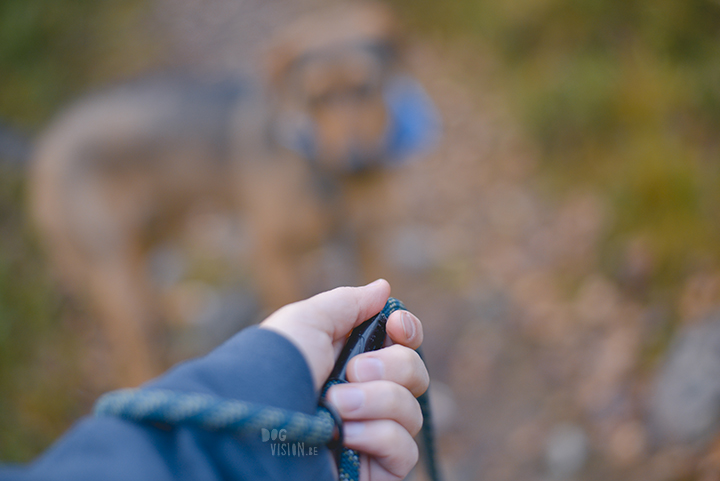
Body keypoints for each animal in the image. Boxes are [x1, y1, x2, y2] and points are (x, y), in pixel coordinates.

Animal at [29, 2, 438, 386]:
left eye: (365, 86)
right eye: (315, 97)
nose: (356, 162)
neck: (326, 175)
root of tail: (47, 141)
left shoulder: (371, 238)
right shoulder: (270, 252)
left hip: (156, 227)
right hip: (111, 265)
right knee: (131, 344)